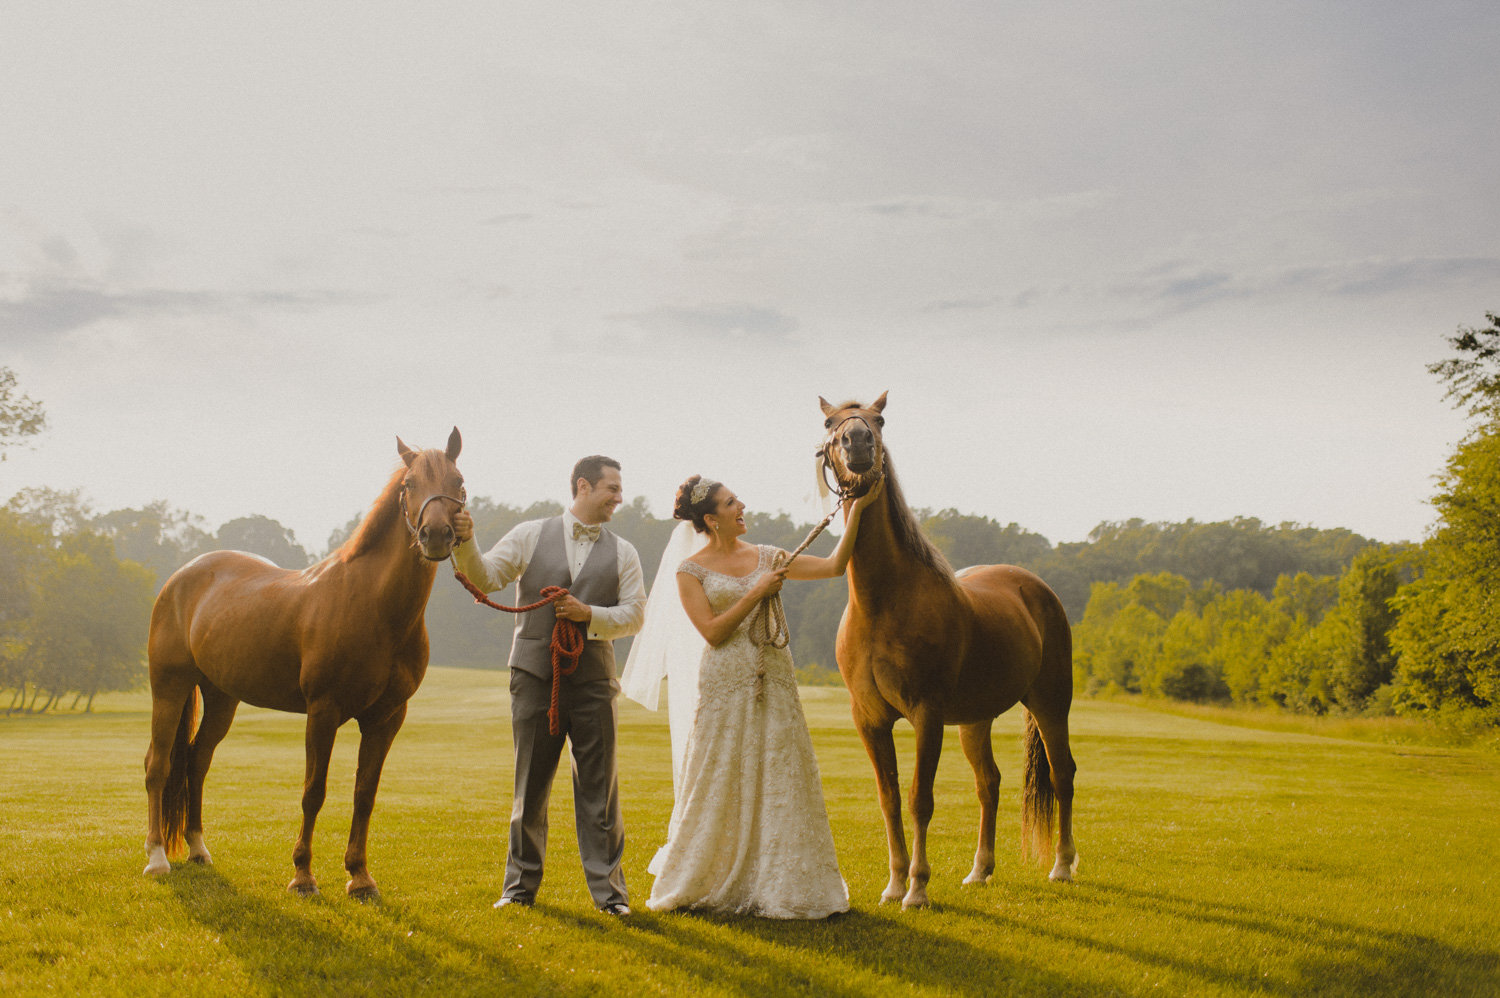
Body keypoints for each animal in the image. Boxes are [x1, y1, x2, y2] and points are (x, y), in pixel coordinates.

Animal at [144, 429, 468, 894]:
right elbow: (313, 792)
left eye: (458, 481)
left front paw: (360, 876)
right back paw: (156, 858)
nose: (436, 535)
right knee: (159, 763)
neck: (374, 606)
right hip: (169, 688)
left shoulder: (387, 717)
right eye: (409, 485)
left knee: (196, 761)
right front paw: (302, 874)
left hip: (221, 698)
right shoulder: (323, 711)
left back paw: (198, 848)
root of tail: (179, 578)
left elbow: (364, 794)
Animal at [822, 393, 1080, 906]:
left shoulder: (927, 714)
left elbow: (920, 799)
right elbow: (890, 799)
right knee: (989, 783)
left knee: (1062, 774)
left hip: (1050, 703)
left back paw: (1062, 865)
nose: (857, 443)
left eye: (880, 420)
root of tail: (1037, 588)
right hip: (975, 720)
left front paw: (917, 888)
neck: (884, 602)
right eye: (829, 423)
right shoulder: (870, 720)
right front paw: (894, 883)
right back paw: (980, 870)